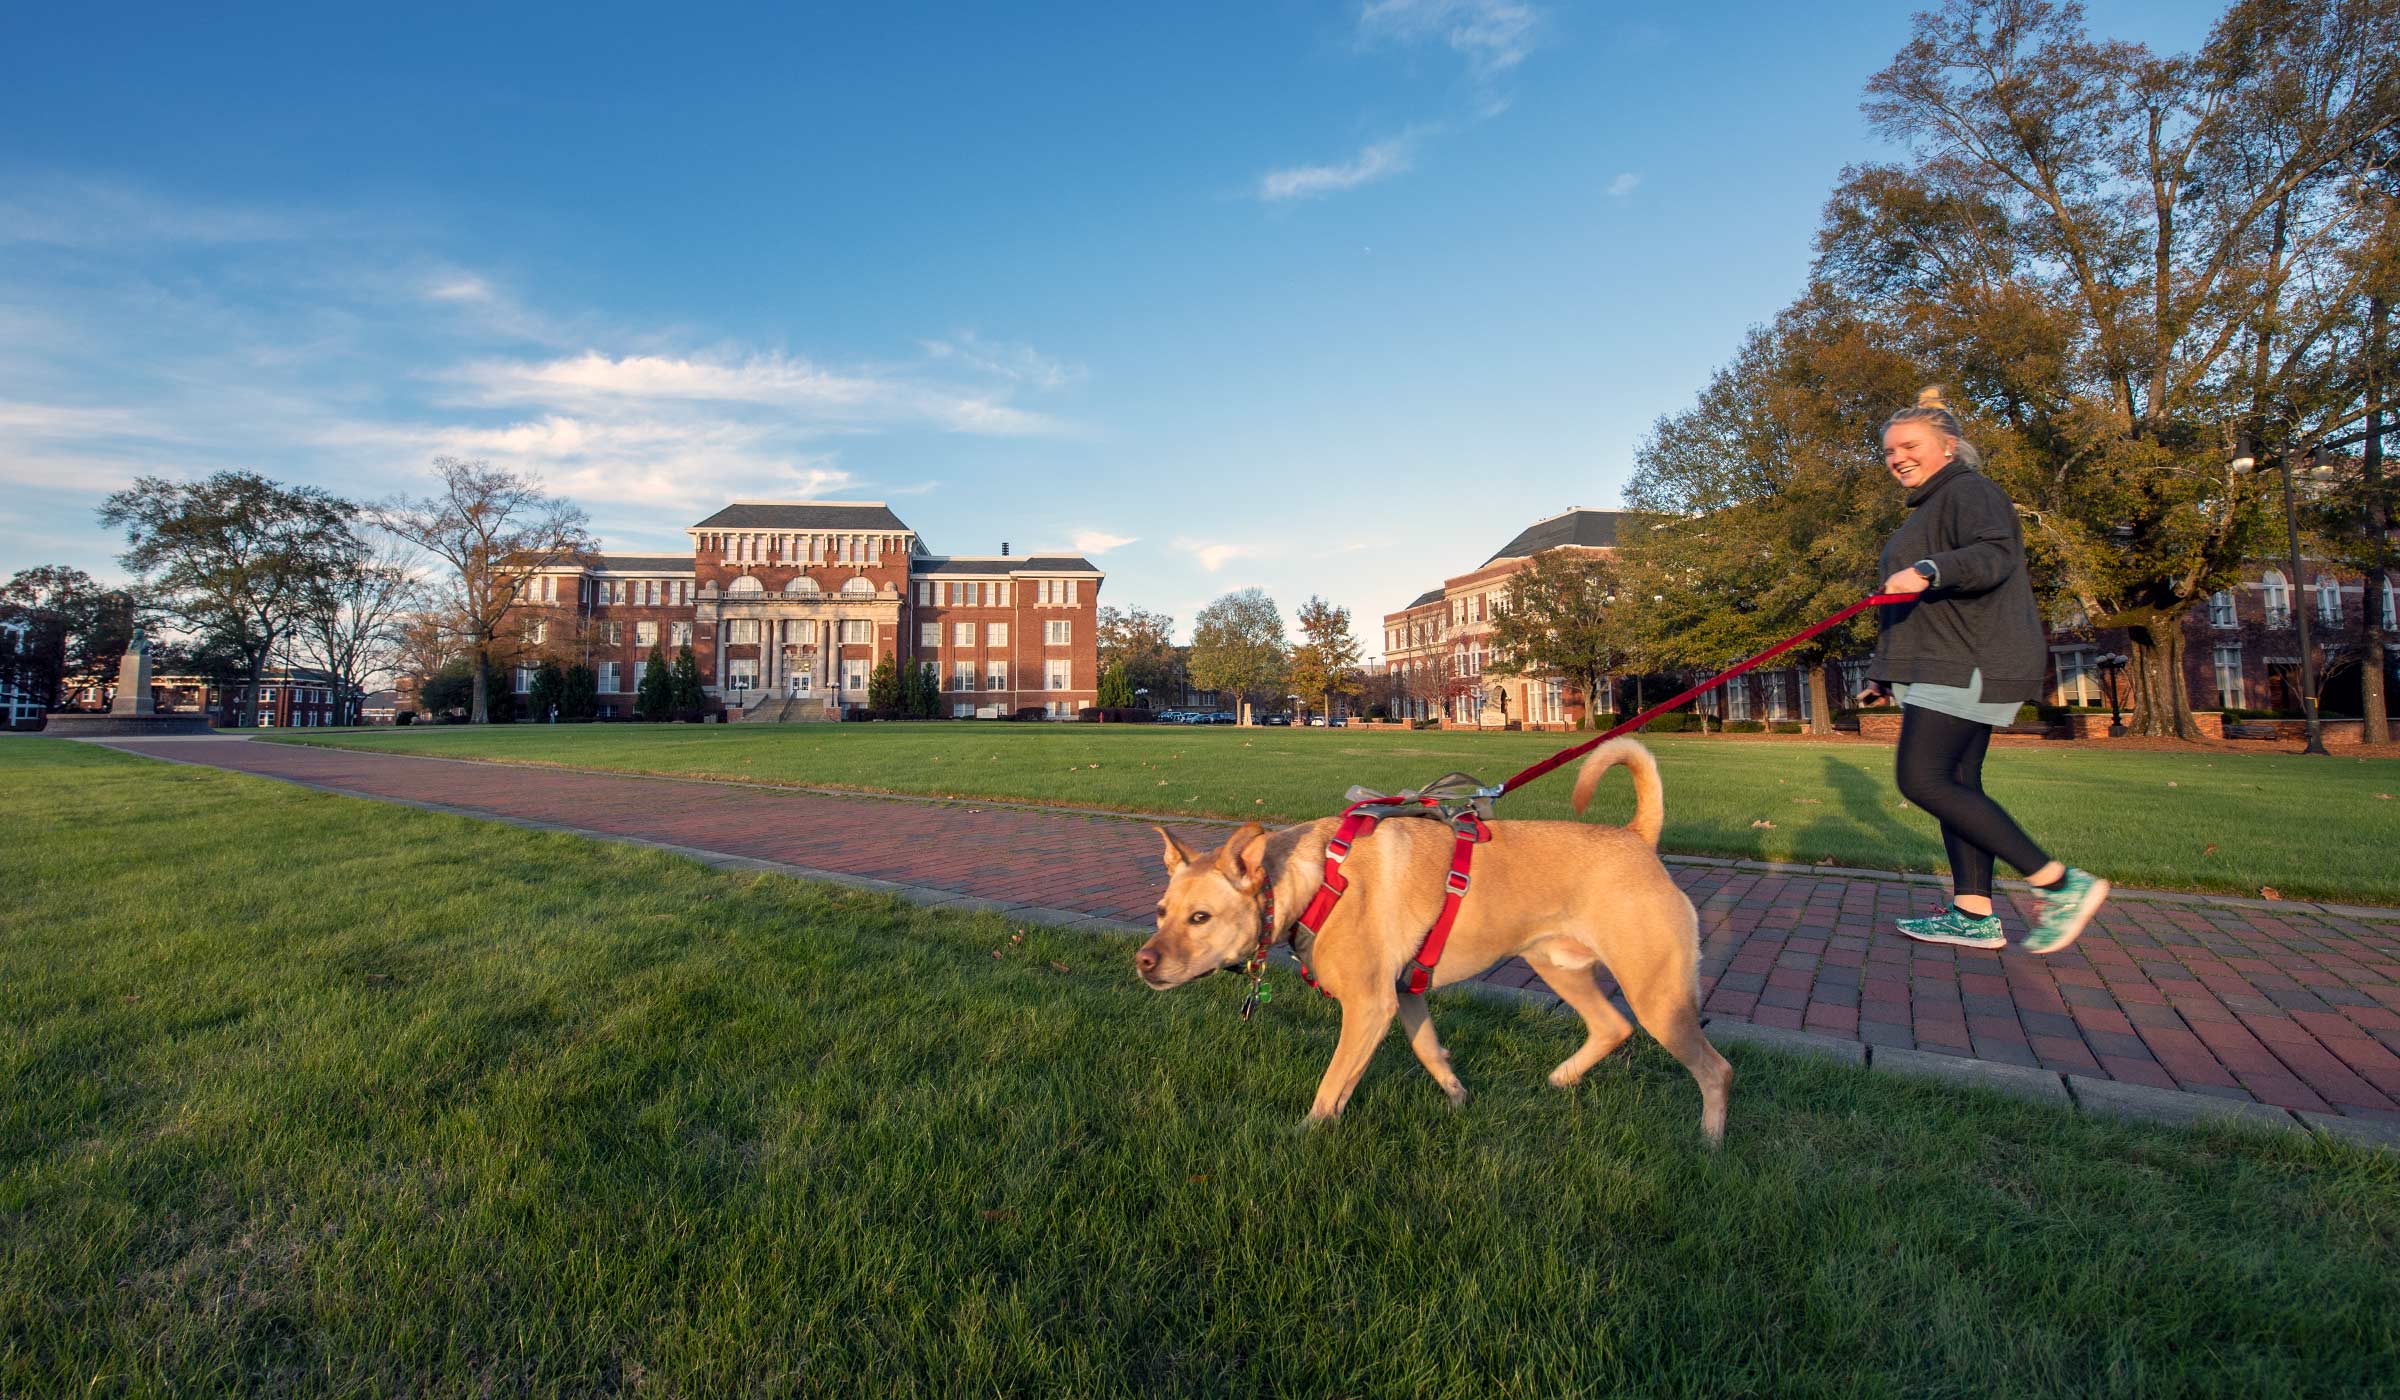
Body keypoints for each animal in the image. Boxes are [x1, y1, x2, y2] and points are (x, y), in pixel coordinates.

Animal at [1137, 739, 1728, 1143]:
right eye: (1162, 912)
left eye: (1200, 917)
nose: (1142, 961)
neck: (1315, 880)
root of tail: (1637, 837)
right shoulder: (1404, 994)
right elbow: (1428, 1051)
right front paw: (1457, 1096)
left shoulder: (1369, 1005)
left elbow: (1334, 1083)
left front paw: (1307, 1132)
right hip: (1558, 966)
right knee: (1612, 1026)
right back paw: (1562, 1078)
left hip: (1657, 995)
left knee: (1714, 1069)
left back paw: (1709, 1142)